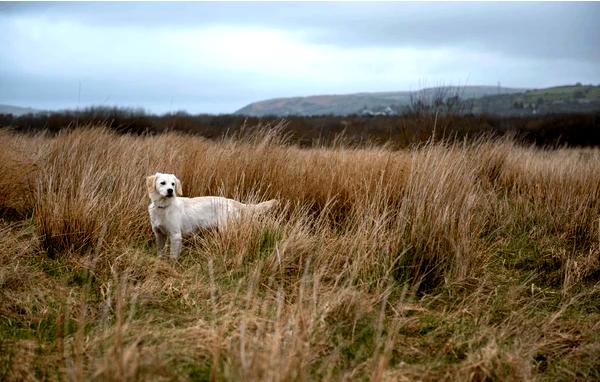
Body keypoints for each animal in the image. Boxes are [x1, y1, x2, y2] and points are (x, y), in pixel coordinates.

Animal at [146, 172, 278, 256]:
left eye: (173, 184)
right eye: (163, 183)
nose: (170, 191)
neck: (163, 207)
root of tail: (231, 201)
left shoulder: (176, 235)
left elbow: (173, 256)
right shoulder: (159, 234)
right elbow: (160, 252)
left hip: (226, 229)